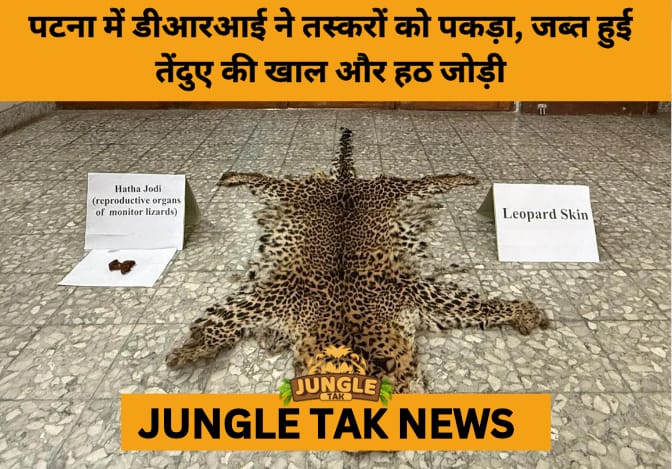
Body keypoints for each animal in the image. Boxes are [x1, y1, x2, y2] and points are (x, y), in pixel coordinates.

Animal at [166, 128, 549, 391]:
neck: (345, 317)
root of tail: (345, 185)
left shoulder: (418, 294)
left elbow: (479, 306)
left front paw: (522, 311)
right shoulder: (276, 295)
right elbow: (225, 319)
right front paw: (193, 347)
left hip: (393, 192)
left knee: (426, 182)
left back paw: (462, 177)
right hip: (298, 192)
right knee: (265, 180)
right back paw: (232, 175)